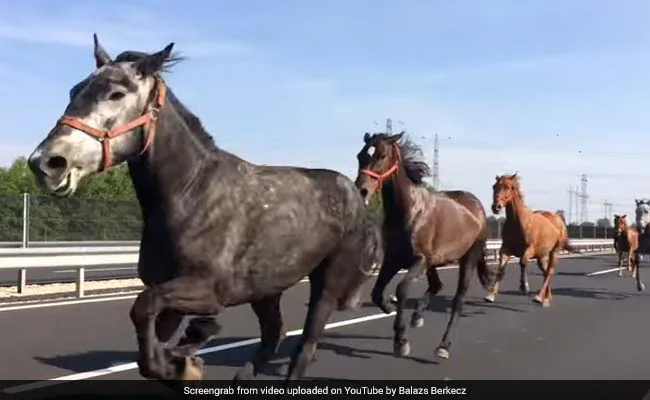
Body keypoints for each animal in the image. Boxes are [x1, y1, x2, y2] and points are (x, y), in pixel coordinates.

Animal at [26, 36, 380, 386]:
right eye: (74, 90)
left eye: (117, 93)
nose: (46, 163)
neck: (192, 194)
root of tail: (353, 191)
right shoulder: (169, 295)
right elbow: (148, 352)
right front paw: (185, 355)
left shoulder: (208, 291)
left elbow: (144, 307)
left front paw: (189, 356)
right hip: (266, 290)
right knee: (273, 334)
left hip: (327, 282)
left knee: (305, 343)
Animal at [352, 133, 494, 360]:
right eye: (360, 156)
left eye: (382, 155)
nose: (362, 191)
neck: (409, 210)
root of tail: (476, 206)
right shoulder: (393, 259)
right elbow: (376, 292)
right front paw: (389, 307)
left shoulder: (419, 259)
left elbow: (402, 290)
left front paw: (401, 341)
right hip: (434, 262)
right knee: (437, 285)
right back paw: (417, 316)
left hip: (467, 259)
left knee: (458, 301)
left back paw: (444, 345)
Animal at [480, 173, 572, 308]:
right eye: (494, 186)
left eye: (508, 187)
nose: (496, 207)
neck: (518, 223)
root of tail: (558, 218)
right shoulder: (505, 250)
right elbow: (501, 271)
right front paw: (490, 296)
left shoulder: (529, 250)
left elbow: (522, 262)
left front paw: (524, 287)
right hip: (541, 256)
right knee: (545, 272)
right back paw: (546, 299)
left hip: (554, 252)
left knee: (550, 272)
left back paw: (539, 298)